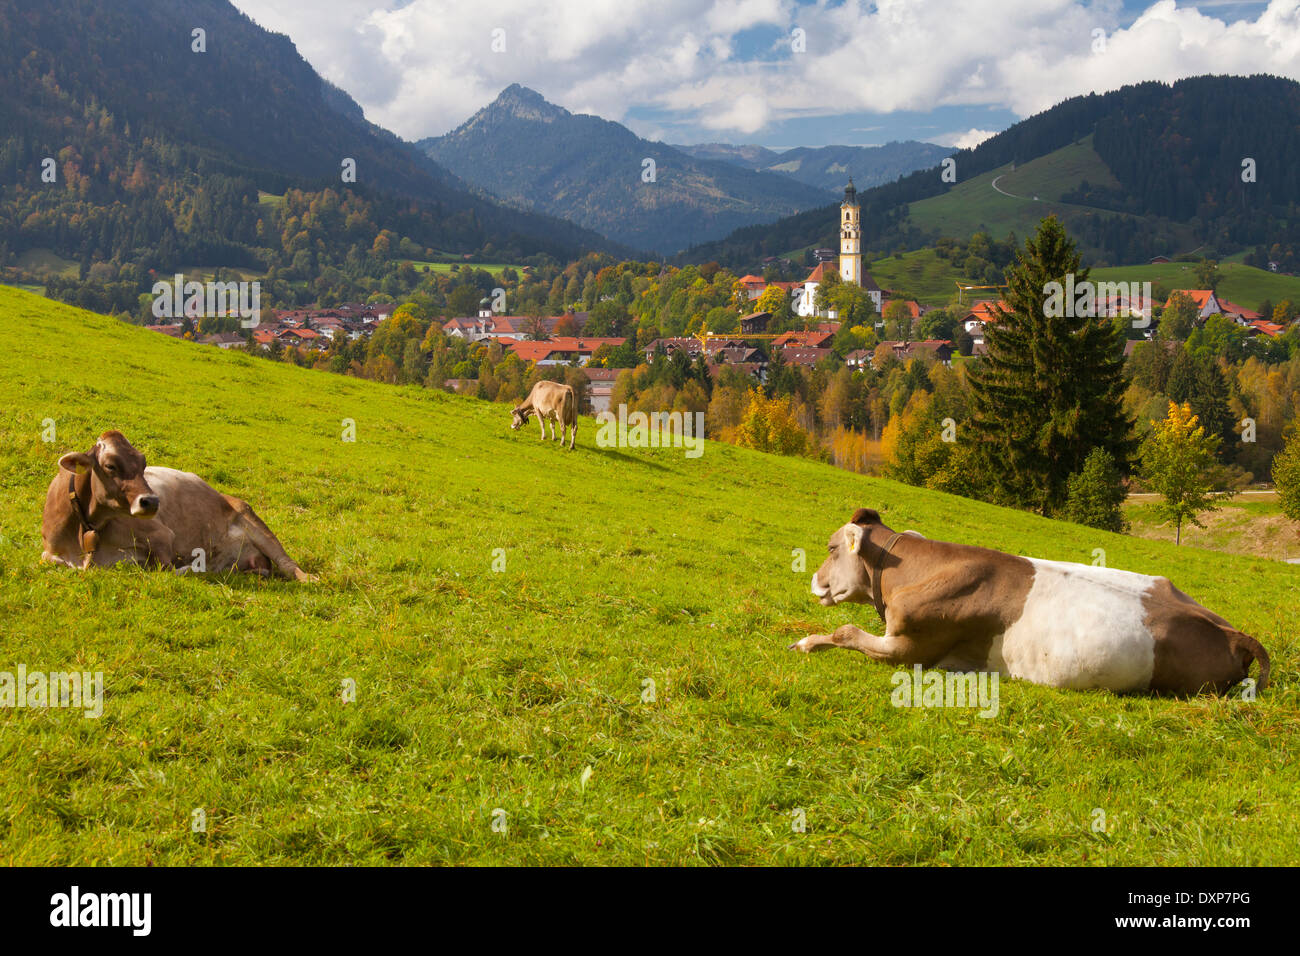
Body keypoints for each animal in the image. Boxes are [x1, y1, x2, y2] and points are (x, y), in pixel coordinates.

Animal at [41, 434, 313, 582]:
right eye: (110, 466)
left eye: (143, 463)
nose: (152, 501)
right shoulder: (51, 550)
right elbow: (49, 559)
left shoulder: (162, 535)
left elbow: (166, 569)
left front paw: (190, 568)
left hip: (249, 516)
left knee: (287, 565)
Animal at [790, 509, 1268, 697]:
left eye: (831, 548)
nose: (813, 579)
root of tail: (1234, 634)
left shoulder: (909, 647)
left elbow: (845, 631)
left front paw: (806, 643)